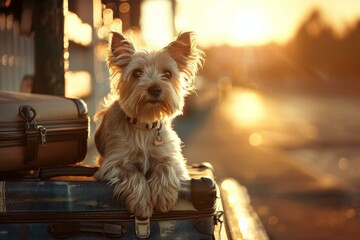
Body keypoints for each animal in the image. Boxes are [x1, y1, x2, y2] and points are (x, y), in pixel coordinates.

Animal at [94, 31, 204, 218]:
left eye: (167, 74)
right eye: (137, 73)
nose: (155, 88)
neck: (144, 125)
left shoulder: (172, 158)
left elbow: (166, 167)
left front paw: (162, 196)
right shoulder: (112, 163)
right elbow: (132, 173)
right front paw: (142, 203)